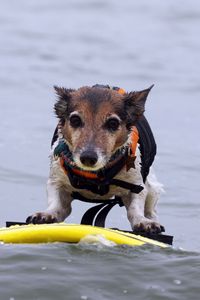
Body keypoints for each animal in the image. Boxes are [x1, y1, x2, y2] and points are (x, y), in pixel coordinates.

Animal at [26, 84, 164, 234]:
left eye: (113, 123)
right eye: (75, 120)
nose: (88, 157)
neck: (94, 176)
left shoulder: (136, 185)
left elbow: (135, 207)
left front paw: (143, 221)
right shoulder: (57, 180)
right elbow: (57, 205)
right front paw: (46, 214)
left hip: (152, 188)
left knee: (151, 209)